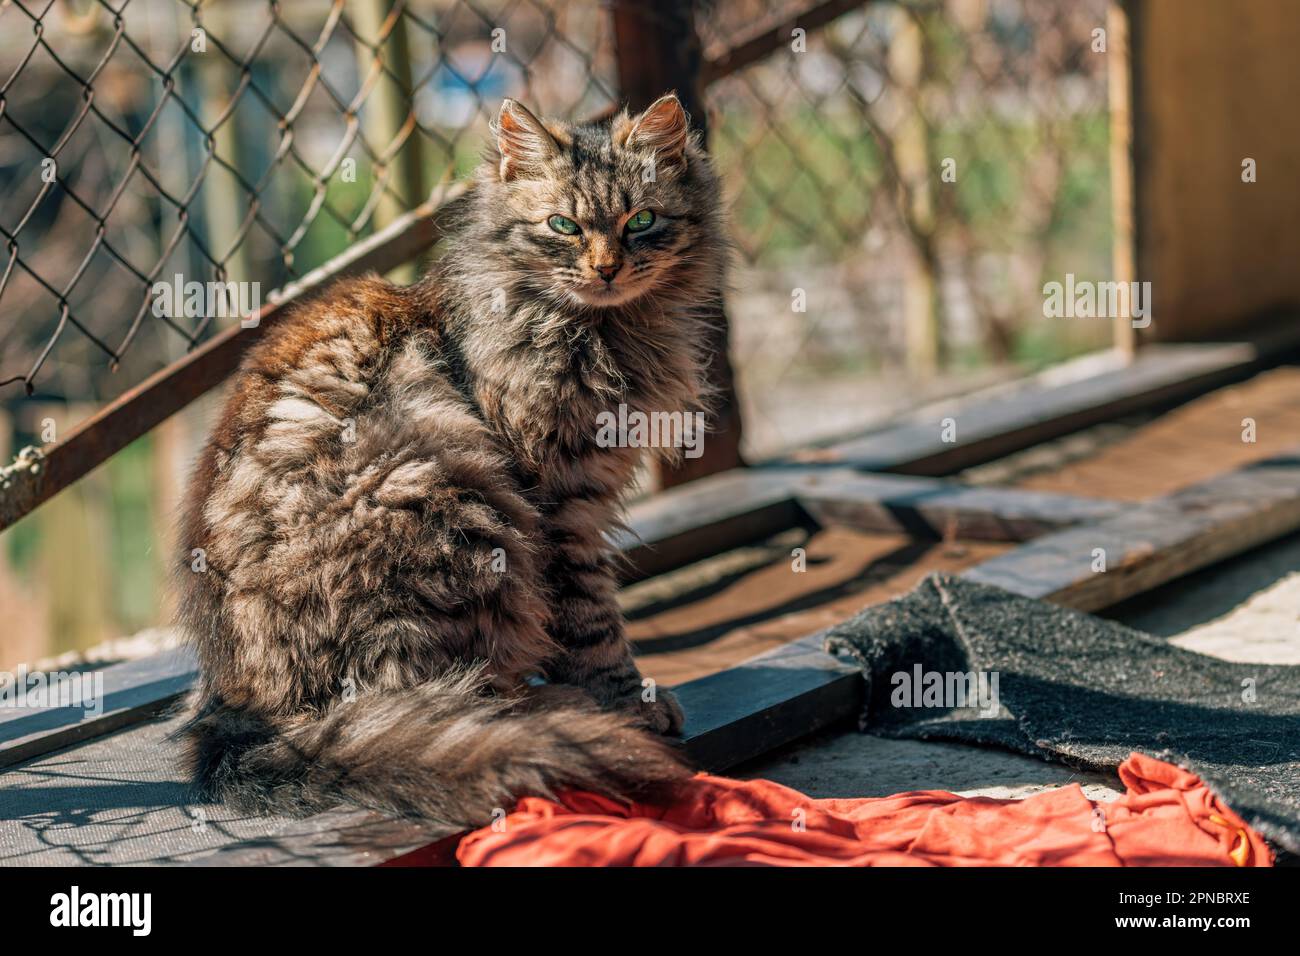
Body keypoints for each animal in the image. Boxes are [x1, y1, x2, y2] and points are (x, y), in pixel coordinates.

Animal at [174, 97, 728, 832]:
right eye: (563, 226)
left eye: (641, 221)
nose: (607, 268)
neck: (601, 331)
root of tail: (241, 712)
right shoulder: (558, 502)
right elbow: (591, 622)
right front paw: (625, 697)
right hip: (447, 494)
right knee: (430, 689)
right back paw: (541, 712)